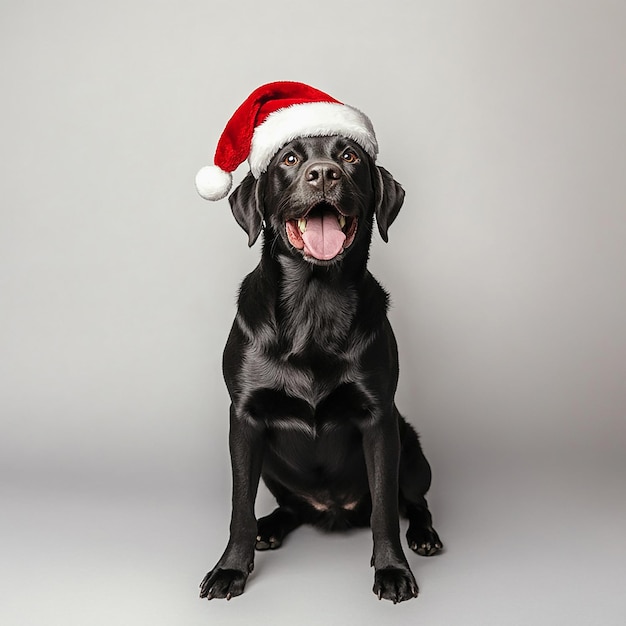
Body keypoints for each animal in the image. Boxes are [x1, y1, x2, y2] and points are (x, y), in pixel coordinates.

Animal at [199, 135, 438, 600]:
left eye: (350, 156)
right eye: (290, 158)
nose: (325, 173)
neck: (314, 303)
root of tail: (334, 510)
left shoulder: (380, 420)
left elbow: (385, 508)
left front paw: (392, 569)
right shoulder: (244, 420)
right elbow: (240, 506)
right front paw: (230, 568)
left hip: (412, 449)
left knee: (414, 502)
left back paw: (424, 535)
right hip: (272, 464)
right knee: (288, 507)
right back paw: (269, 528)